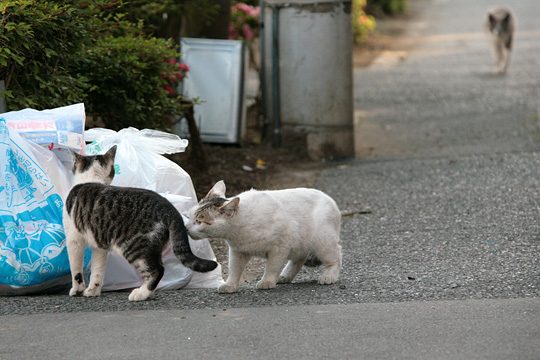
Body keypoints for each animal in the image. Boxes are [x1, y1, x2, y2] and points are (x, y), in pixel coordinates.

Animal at [62, 146, 216, 300]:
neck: (92, 178)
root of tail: (168, 208)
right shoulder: (99, 246)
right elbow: (98, 269)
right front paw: (93, 290)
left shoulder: (73, 240)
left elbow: (76, 269)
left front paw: (77, 290)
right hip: (153, 246)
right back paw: (148, 292)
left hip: (134, 247)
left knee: (158, 270)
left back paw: (141, 293)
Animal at [186, 181, 342, 294]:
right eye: (190, 216)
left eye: (199, 221)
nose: (186, 228)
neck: (239, 231)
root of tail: (331, 200)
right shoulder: (237, 252)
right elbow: (234, 270)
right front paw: (230, 285)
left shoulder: (280, 247)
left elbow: (272, 267)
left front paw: (267, 281)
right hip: (300, 245)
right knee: (299, 259)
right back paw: (285, 276)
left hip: (322, 241)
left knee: (337, 256)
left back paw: (329, 275)